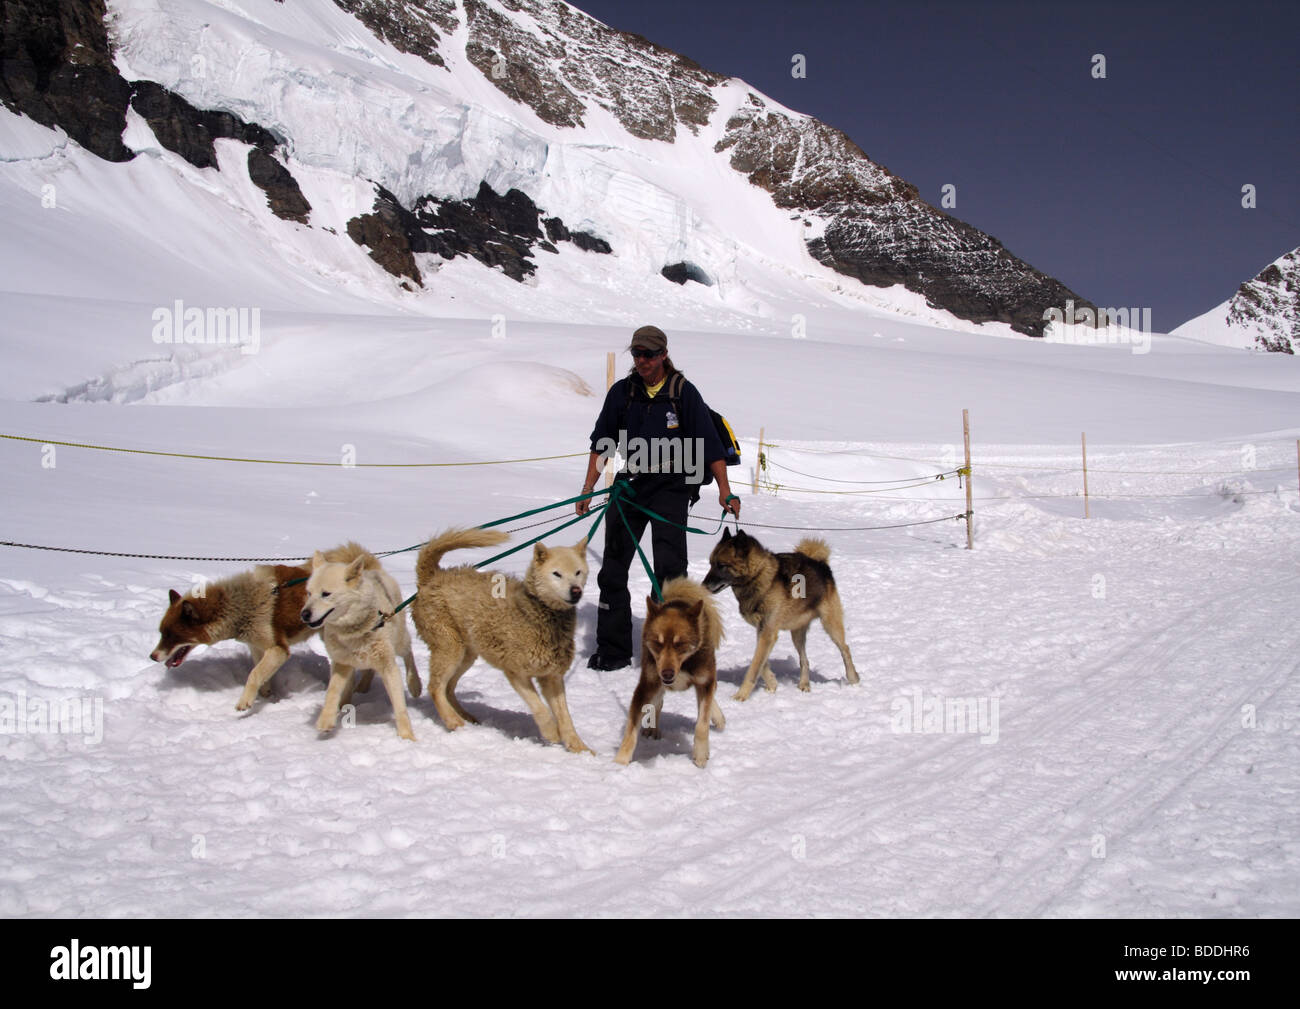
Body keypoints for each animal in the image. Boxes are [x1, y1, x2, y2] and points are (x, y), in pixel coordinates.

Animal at [613, 579, 728, 769]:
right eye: (658, 643)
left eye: (679, 644)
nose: (666, 673)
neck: (683, 665)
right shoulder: (647, 685)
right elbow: (631, 727)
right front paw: (620, 762)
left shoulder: (704, 680)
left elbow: (702, 723)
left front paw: (700, 754)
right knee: (658, 703)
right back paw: (652, 728)